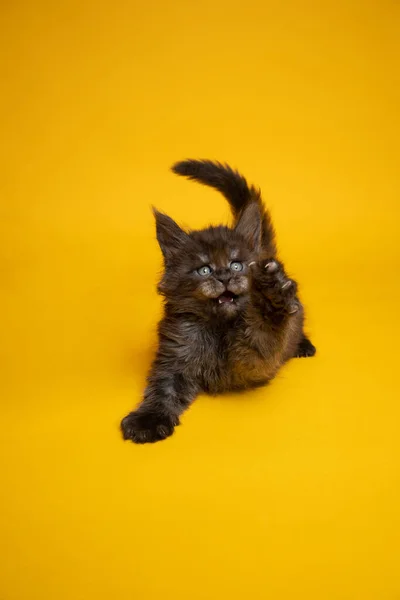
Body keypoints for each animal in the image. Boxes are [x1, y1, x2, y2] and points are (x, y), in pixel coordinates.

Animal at [120, 162, 314, 442]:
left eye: (236, 265)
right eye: (204, 270)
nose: (224, 276)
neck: (219, 328)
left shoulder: (254, 363)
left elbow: (266, 332)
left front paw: (269, 296)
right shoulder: (174, 355)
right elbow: (163, 389)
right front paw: (148, 419)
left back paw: (302, 344)